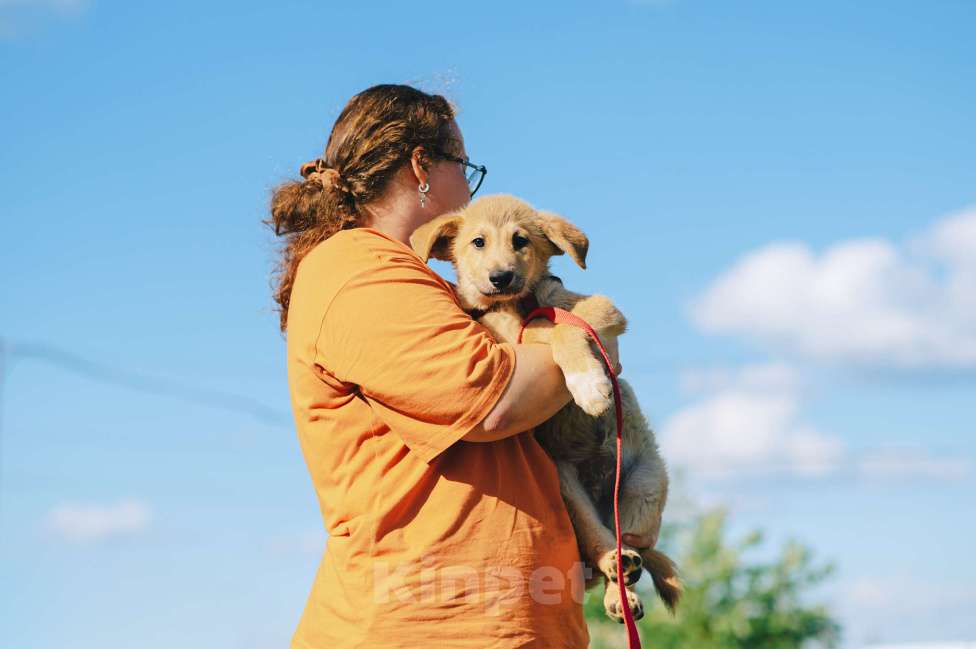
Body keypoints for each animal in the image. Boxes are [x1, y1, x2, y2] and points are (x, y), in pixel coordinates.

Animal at [408, 194, 684, 624]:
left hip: (643, 486)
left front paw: (589, 385)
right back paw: (614, 566)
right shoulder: (502, 337)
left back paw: (622, 582)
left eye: (520, 240)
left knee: (632, 543)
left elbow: (564, 328)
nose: (501, 278)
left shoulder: (600, 309)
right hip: (568, 490)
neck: (517, 304)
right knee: (601, 542)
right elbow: (541, 332)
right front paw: (588, 382)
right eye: (477, 242)